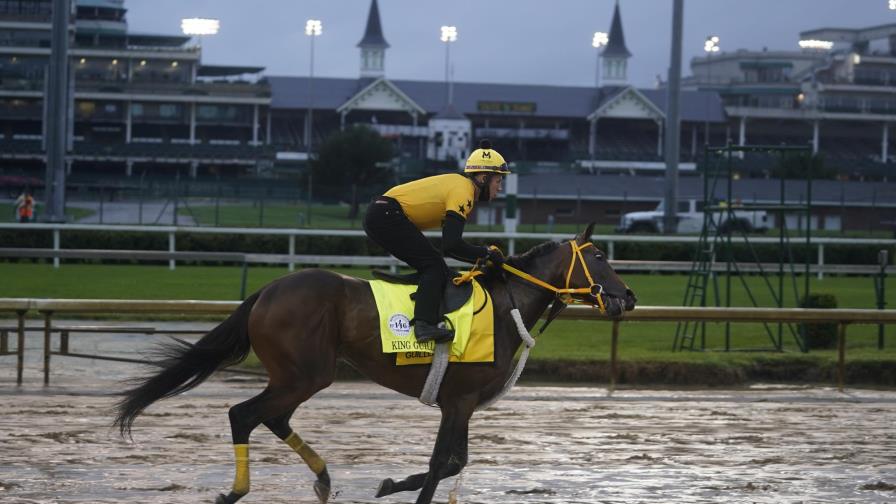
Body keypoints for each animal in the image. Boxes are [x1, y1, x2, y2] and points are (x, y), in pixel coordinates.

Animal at [115, 224, 632, 504]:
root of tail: (267, 290)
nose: (628, 296)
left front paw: (387, 484)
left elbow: (454, 462)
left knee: (273, 417)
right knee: (243, 414)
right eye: (599, 256)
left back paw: (323, 477)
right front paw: (400, 488)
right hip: (306, 374)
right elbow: (442, 462)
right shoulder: (459, 400)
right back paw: (237, 490)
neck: (507, 306)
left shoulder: (461, 403)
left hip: (299, 375)